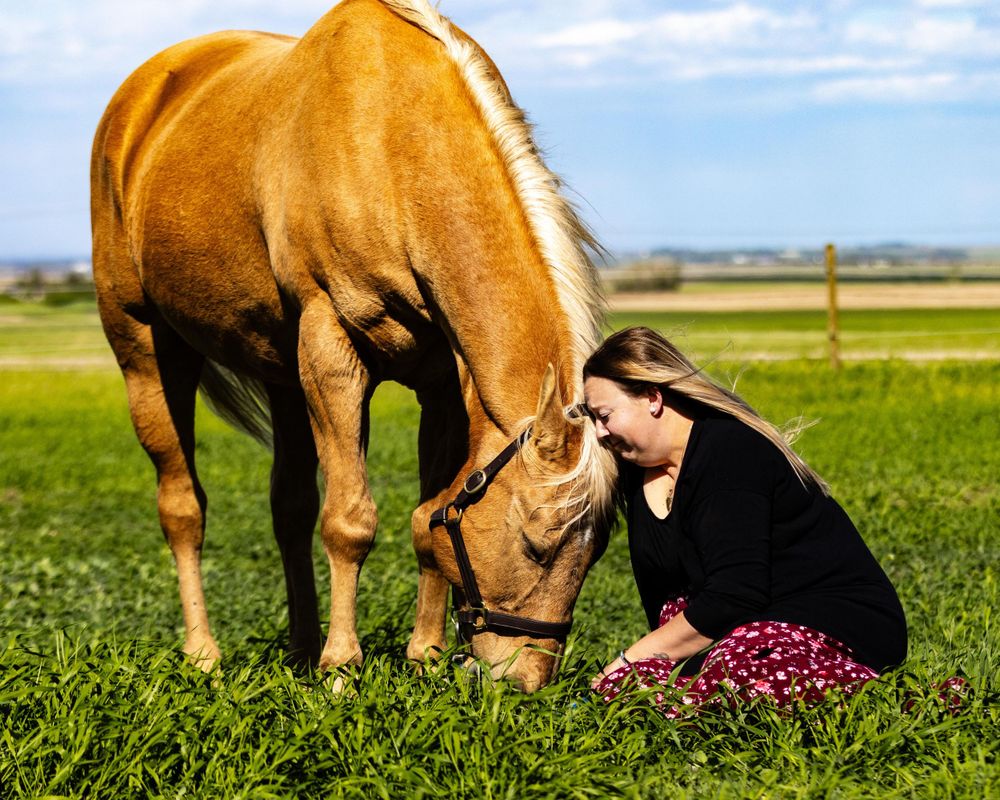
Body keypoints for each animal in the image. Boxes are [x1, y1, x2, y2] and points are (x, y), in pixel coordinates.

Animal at [90, 0, 617, 692]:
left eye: (600, 546)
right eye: (537, 541)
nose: (525, 682)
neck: (395, 147)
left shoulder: (440, 382)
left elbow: (428, 518)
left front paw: (422, 658)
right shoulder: (330, 351)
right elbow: (349, 521)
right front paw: (343, 669)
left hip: (281, 374)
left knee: (288, 508)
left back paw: (300, 647)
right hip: (146, 350)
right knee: (183, 508)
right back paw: (205, 654)